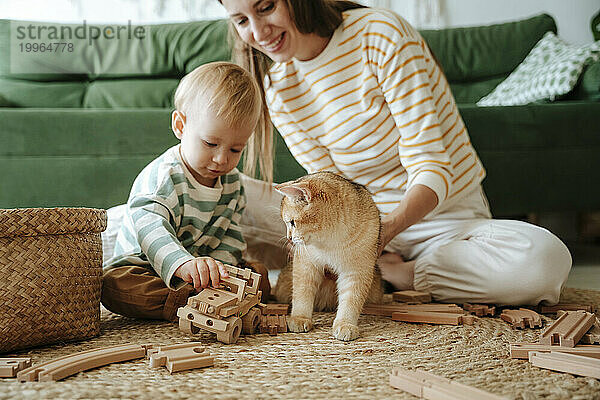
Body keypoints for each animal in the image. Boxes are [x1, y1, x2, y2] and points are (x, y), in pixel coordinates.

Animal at [274, 172, 382, 340]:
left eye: (292, 223)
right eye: (288, 223)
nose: (289, 238)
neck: (331, 241)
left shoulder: (357, 270)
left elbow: (351, 299)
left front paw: (345, 324)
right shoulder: (305, 264)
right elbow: (302, 292)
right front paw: (300, 318)